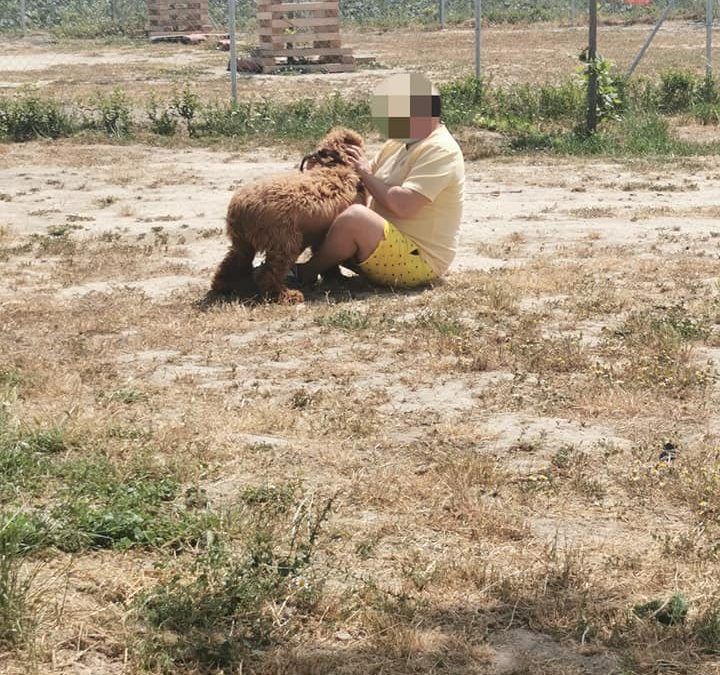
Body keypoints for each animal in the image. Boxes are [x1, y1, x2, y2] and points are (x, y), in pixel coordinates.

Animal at [210, 126, 366, 304]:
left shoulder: (322, 233)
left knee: (232, 261)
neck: (333, 165)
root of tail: (240, 208)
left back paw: (221, 285)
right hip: (285, 242)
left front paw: (335, 277)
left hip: (243, 243)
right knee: (267, 274)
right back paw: (286, 295)